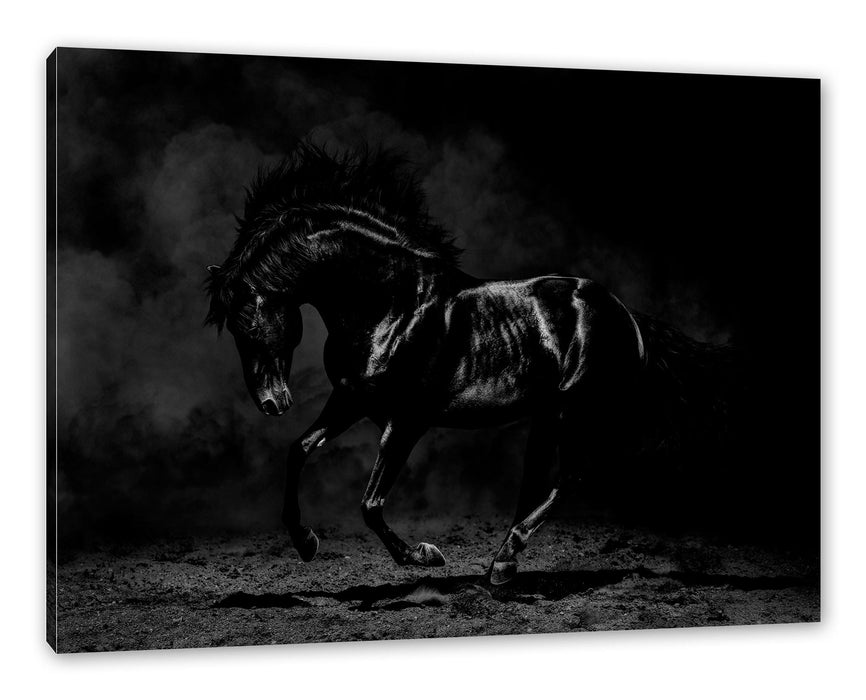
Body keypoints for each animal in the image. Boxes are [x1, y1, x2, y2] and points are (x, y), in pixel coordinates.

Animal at [206, 144, 688, 586]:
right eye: (232, 331)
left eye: (247, 325)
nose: (272, 403)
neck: (390, 305)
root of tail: (626, 314)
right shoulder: (351, 400)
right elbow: (299, 450)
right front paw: (306, 543)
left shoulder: (406, 420)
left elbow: (370, 504)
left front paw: (423, 555)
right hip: (548, 415)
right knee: (540, 481)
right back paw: (502, 561)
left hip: (578, 411)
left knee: (572, 476)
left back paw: (506, 559)